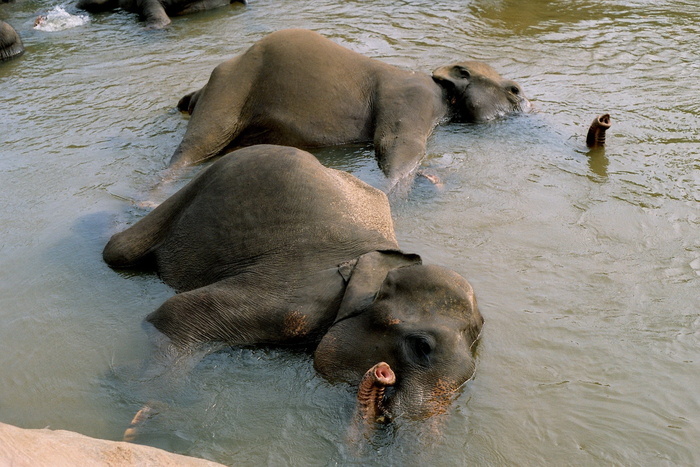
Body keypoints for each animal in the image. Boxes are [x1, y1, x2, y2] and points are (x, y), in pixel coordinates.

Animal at [104, 146, 484, 424]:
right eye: (421, 347)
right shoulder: (301, 297)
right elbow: (174, 315)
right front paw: (146, 407)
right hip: (196, 189)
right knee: (117, 251)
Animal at [170, 28, 532, 188]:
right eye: (514, 91)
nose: (523, 102)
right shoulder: (413, 97)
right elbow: (395, 145)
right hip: (231, 89)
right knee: (198, 145)